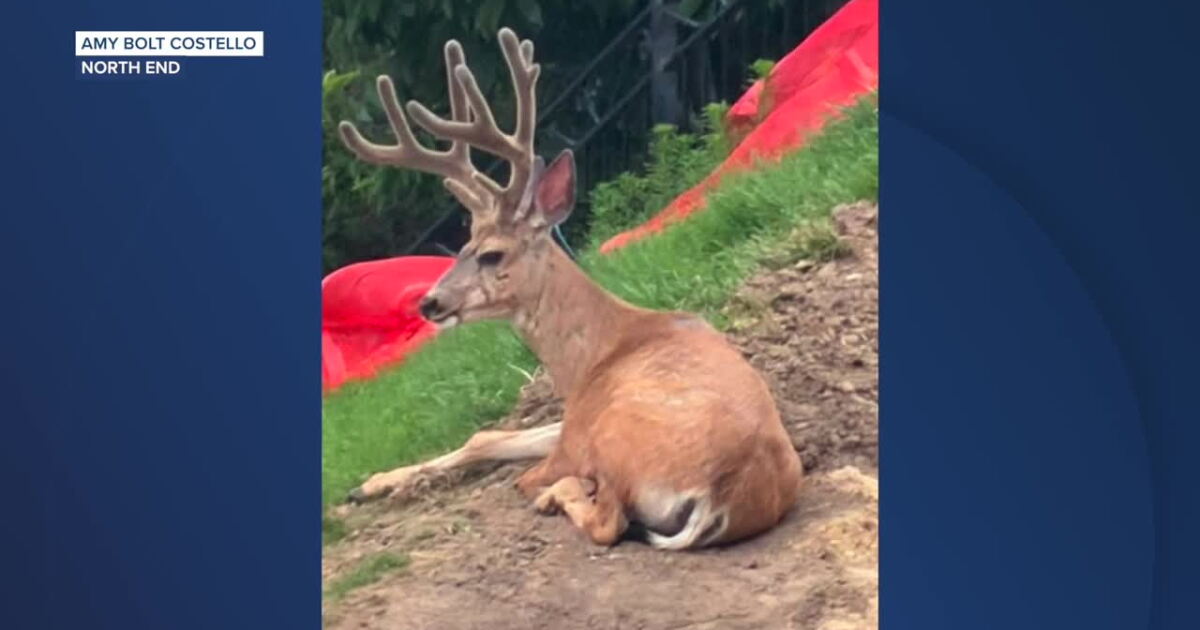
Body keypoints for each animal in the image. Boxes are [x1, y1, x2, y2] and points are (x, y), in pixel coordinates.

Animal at [336, 27, 803, 550]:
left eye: (492, 254)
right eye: (461, 247)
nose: (429, 302)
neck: (590, 356)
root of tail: (724, 491)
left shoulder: (578, 429)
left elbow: (512, 457)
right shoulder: (570, 417)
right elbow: (486, 437)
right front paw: (367, 486)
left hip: (614, 438)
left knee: (602, 518)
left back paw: (556, 495)